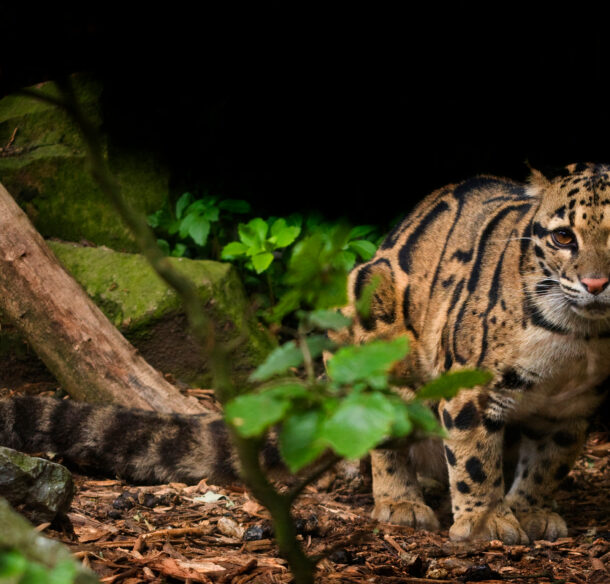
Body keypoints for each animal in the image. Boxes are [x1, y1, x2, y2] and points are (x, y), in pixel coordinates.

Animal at [0, 161, 604, 544]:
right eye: (563, 237)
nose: (597, 283)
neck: (577, 342)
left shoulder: (574, 410)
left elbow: (548, 464)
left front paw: (531, 511)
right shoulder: (468, 387)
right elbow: (477, 457)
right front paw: (484, 521)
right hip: (371, 312)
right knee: (384, 433)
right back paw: (400, 502)